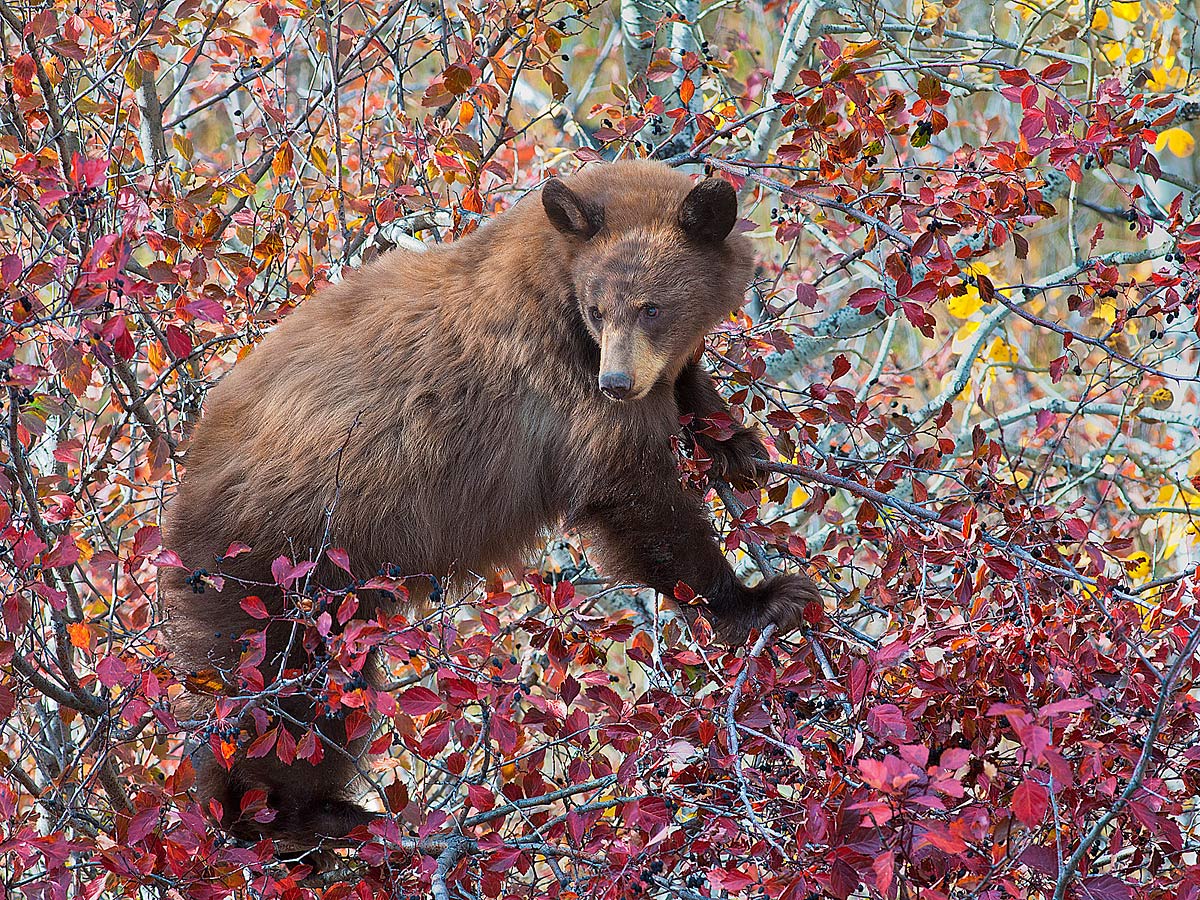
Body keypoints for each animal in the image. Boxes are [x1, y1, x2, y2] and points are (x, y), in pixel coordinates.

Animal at [160, 159, 821, 851]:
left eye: (652, 307)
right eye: (598, 308)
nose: (616, 382)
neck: (556, 269)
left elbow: (684, 389)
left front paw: (735, 444)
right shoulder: (564, 382)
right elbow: (633, 492)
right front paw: (760, 599)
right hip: (273, 568)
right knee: (280, 699)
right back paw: (289, 817)